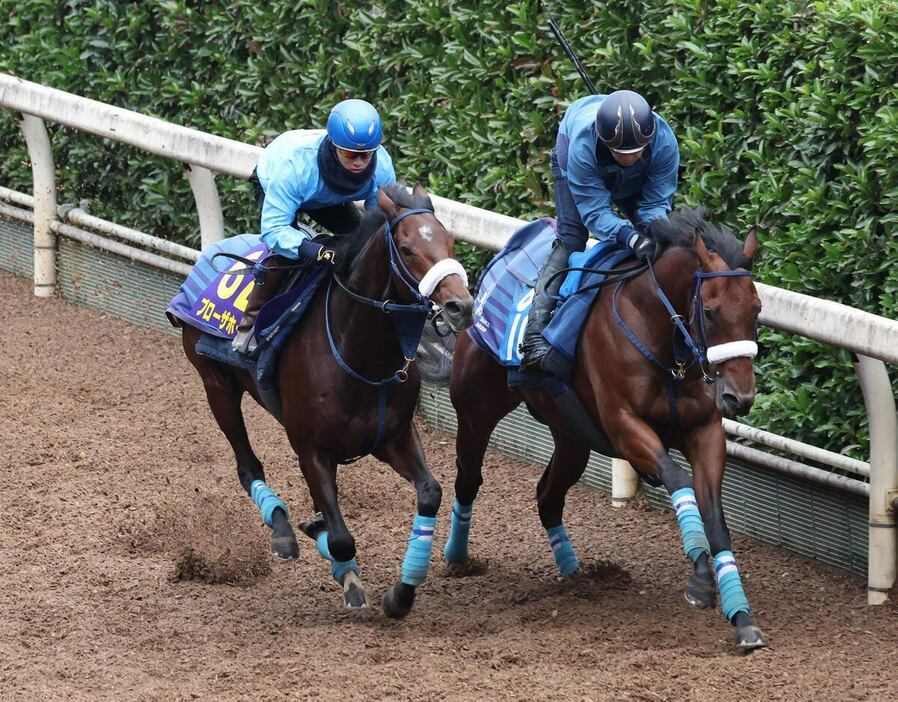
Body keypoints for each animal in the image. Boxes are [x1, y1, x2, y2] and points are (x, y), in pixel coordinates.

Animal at [183, 184, 476, 620]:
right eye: (407, 249)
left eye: (450, 241)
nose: (462, 306)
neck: (359, 354)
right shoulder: (311, 449)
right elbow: (341, 540)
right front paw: (348, 576)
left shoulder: (394, 436)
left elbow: (430, 493)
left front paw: (401, 593)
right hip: (217, 385)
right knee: (246, 465)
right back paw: (283, 530)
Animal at [444, 210, 768, 656]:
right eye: (712, 311)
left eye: (756, 309)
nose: (740, 396)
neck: (662, 339)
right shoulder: (624, 426)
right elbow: (677, 478)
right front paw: (700, 576)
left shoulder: (704, 431)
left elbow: (716, 517)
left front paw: (742, 617)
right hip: (476, 409)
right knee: (469, 479)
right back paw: (457, 558)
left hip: (572, 436)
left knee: (547, 497)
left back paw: (575, 574)